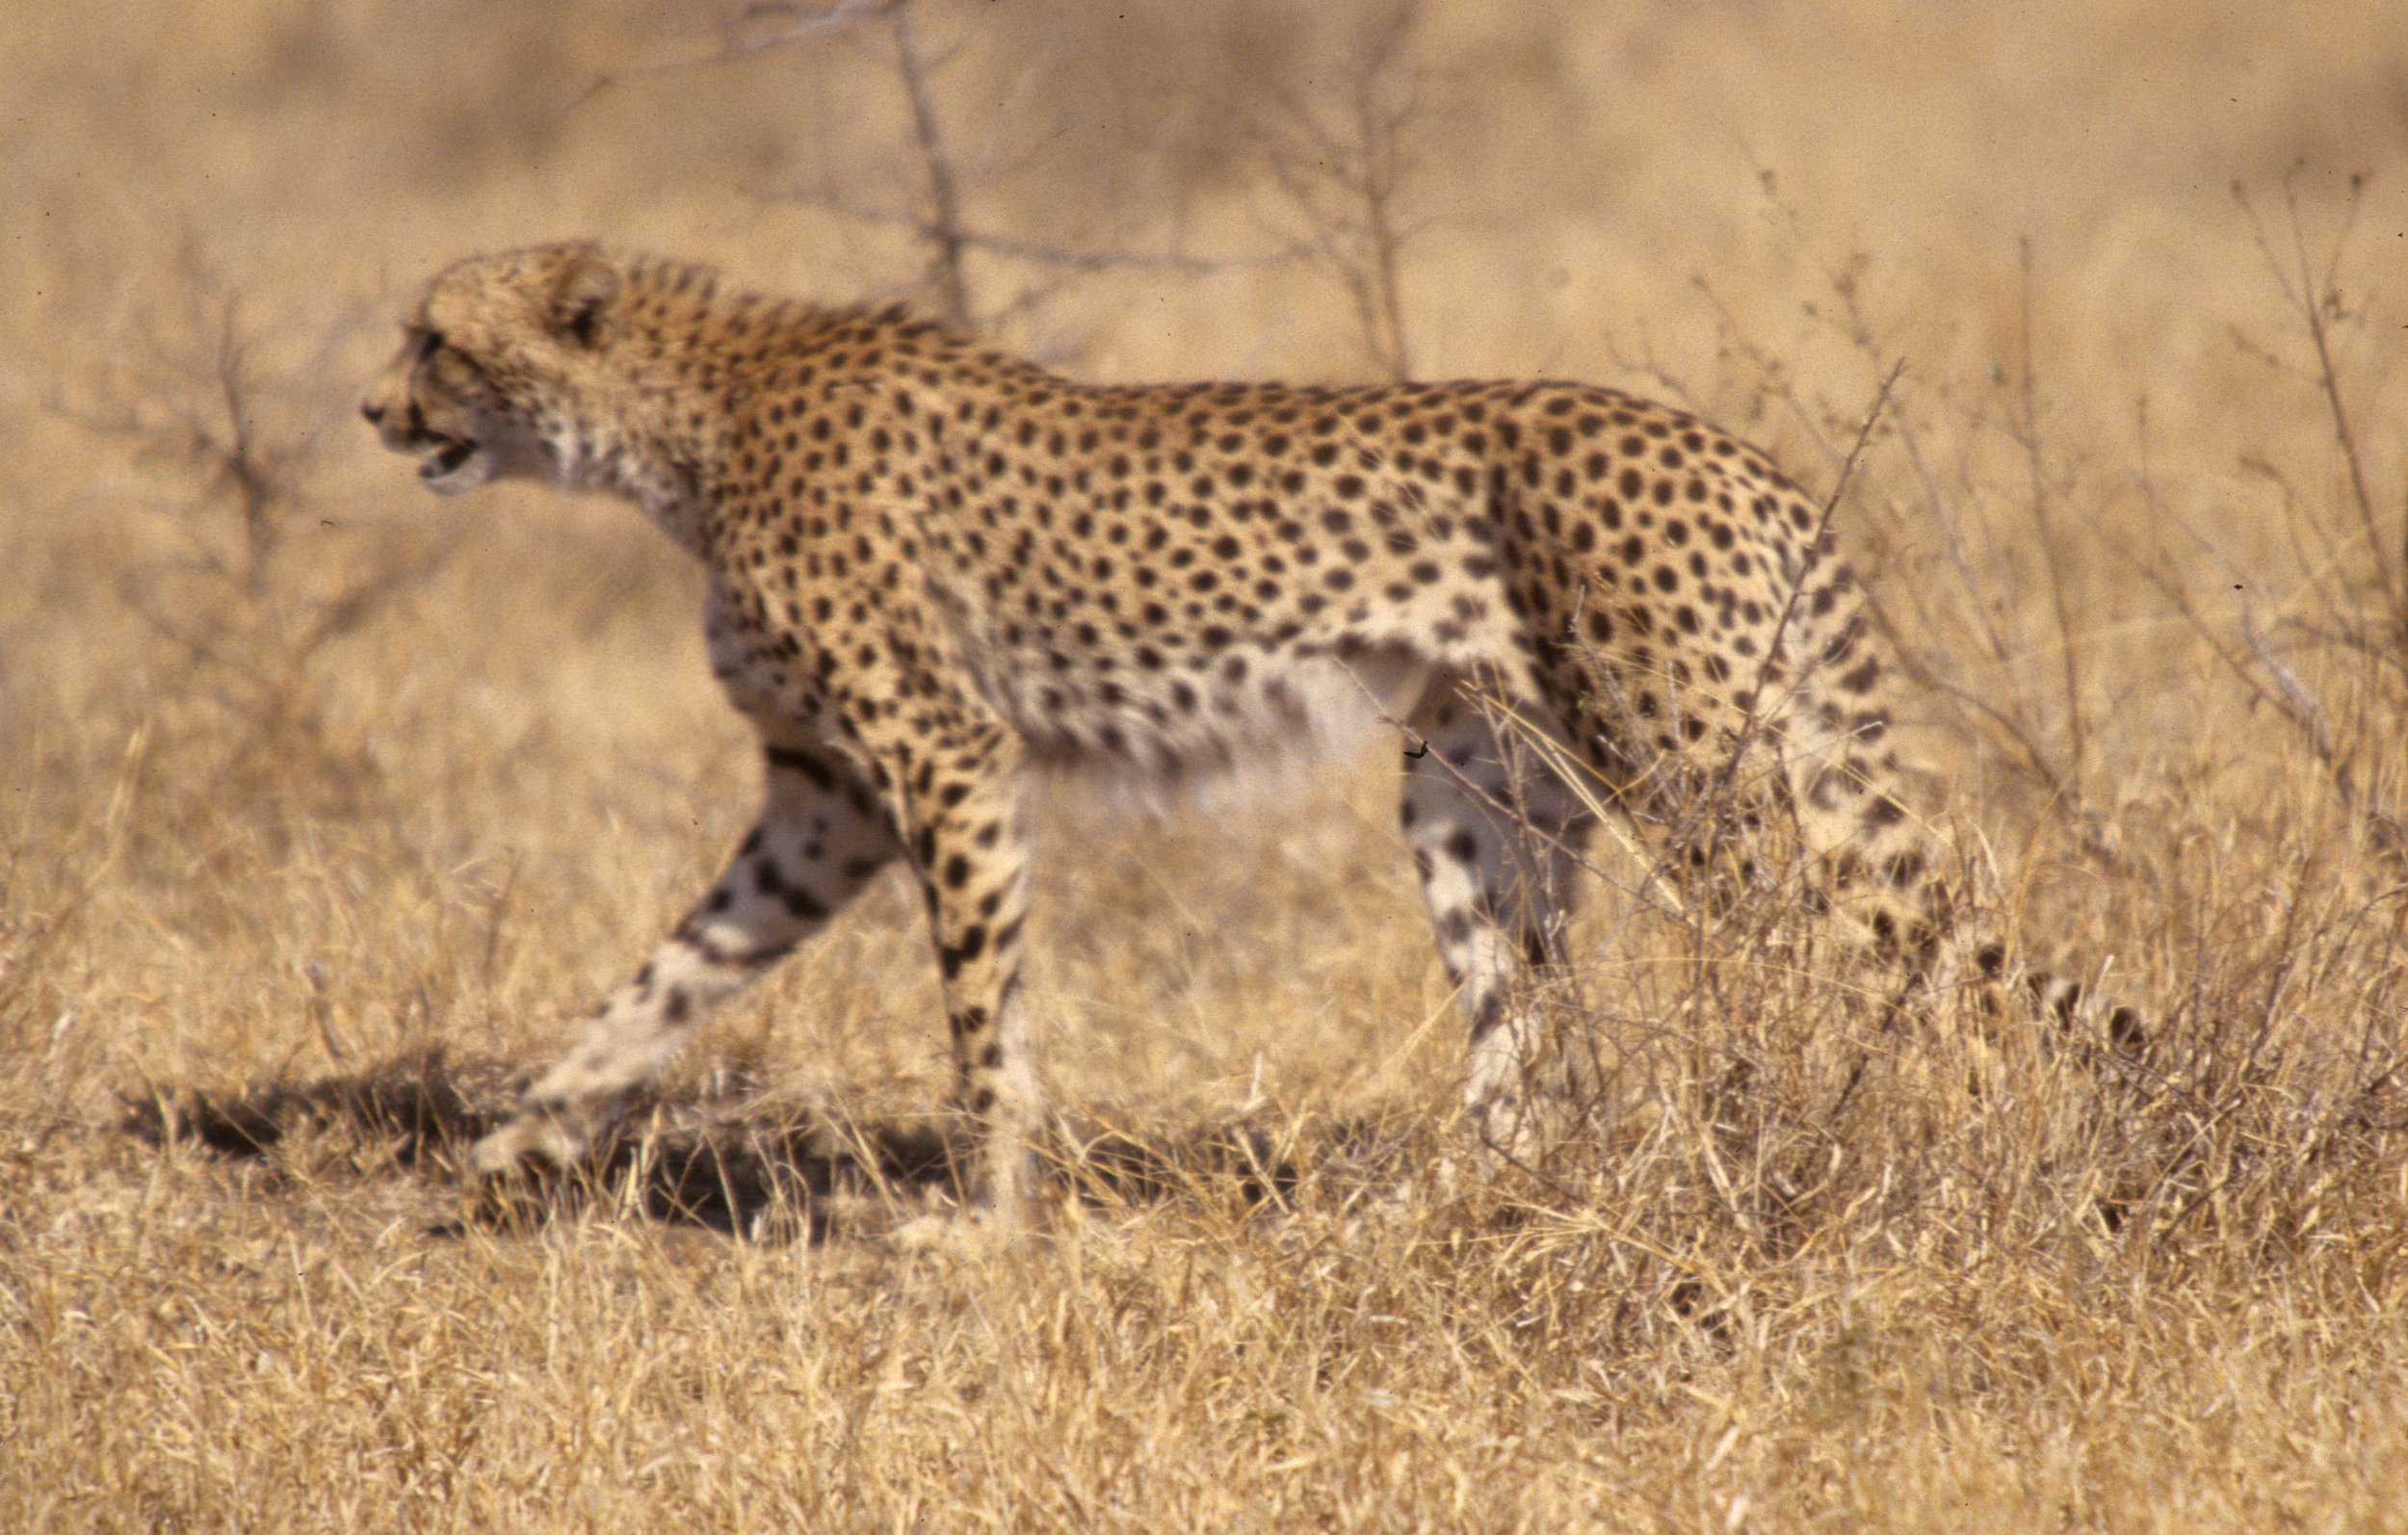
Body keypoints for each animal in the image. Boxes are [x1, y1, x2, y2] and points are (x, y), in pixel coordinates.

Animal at [363, 240, 2140, 1230]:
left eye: (436, 338)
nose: (377, 414)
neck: (689, 422)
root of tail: (1731, 445)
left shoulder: (946, 760)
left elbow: (981, 1011)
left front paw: (982, 1219)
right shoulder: (827, 802)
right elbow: (667, 974)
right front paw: (513, 1142)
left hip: (1700, 778)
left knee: (1849, 965)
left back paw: (1865, 1151)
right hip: (1471, 789)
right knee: (1529, 1016)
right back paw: (1449, 1200)